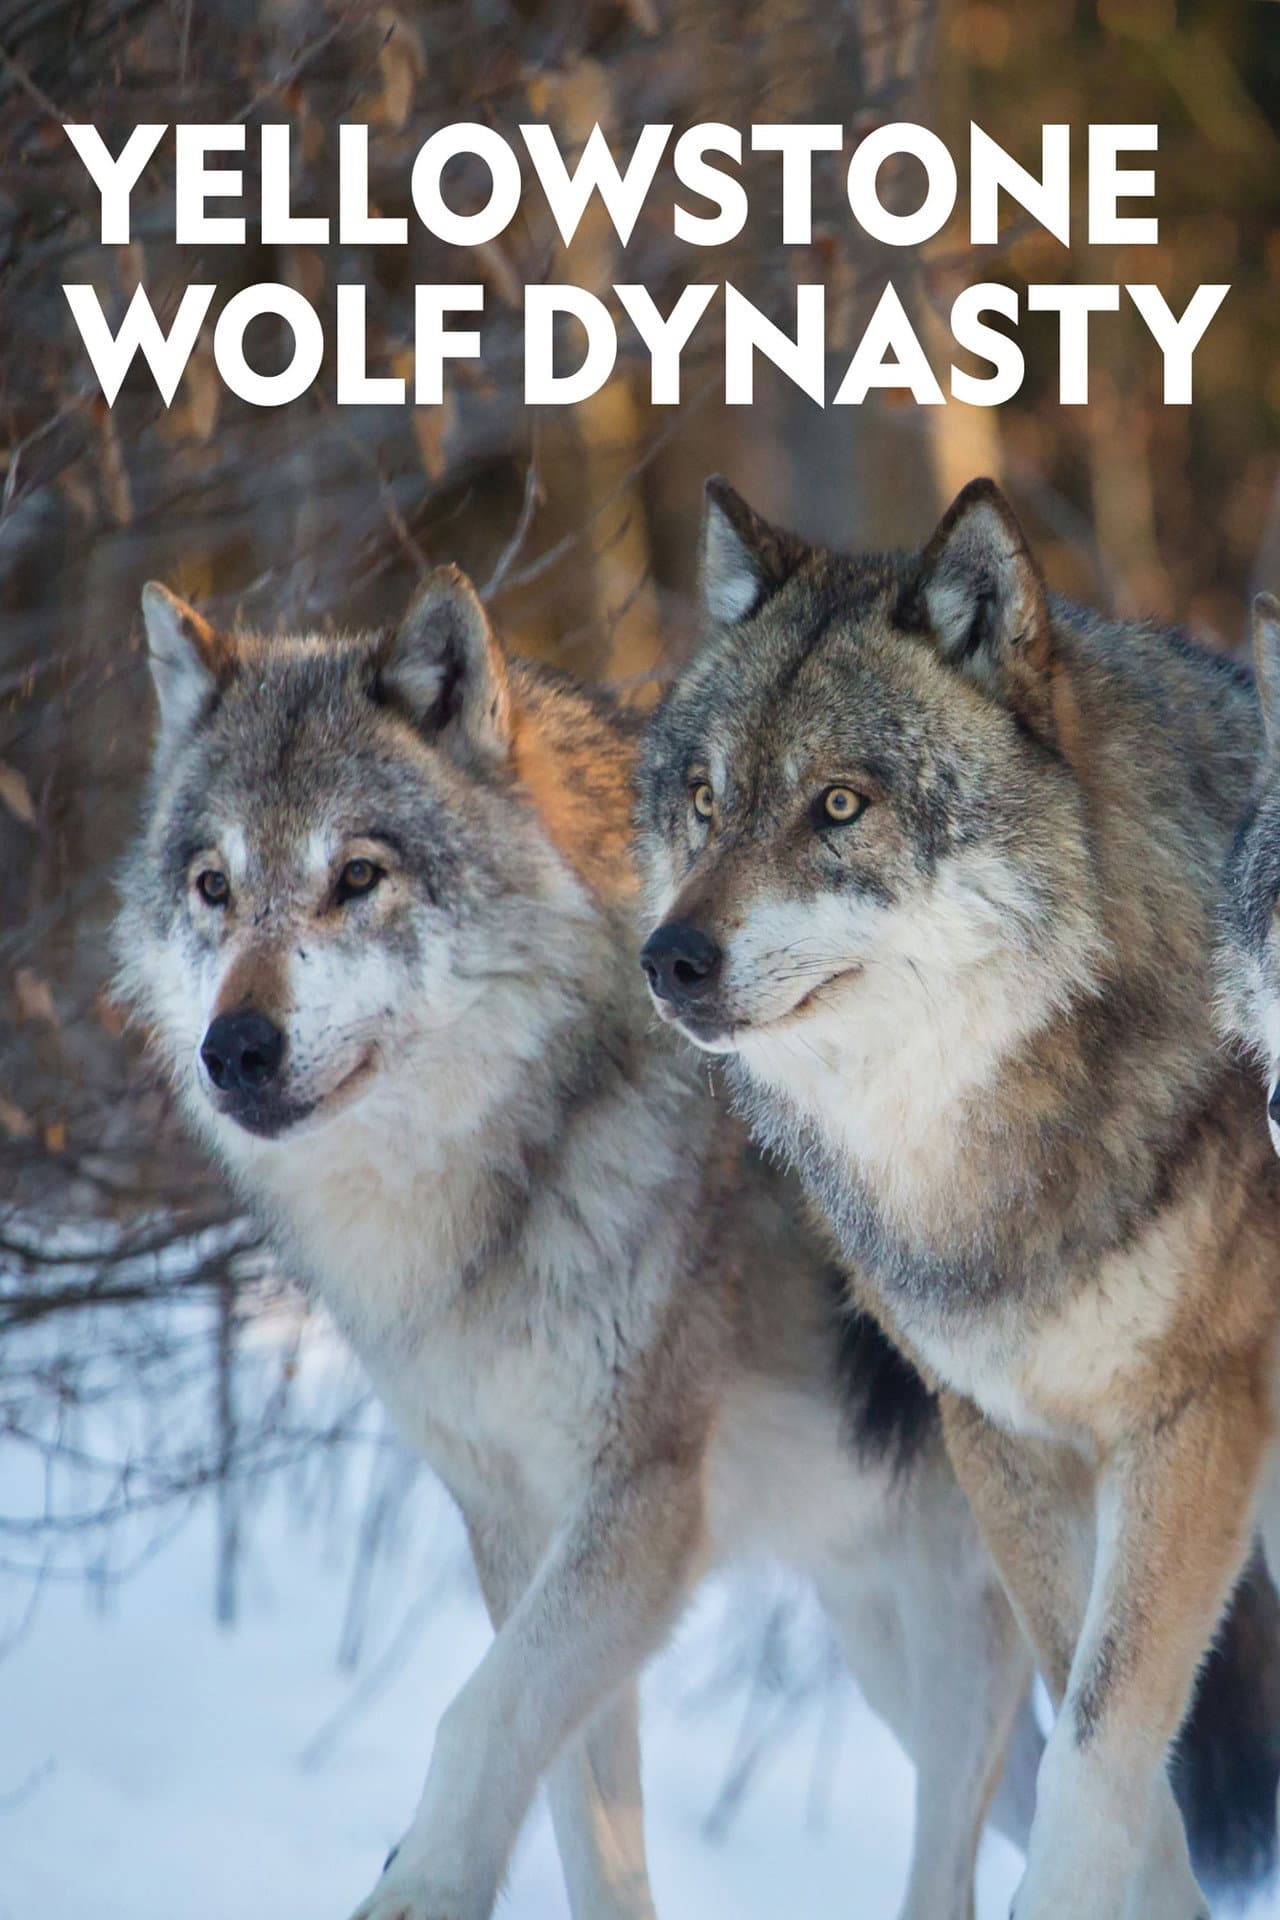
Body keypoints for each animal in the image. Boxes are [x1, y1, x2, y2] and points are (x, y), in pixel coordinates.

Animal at [116, 566, 1048, 1920]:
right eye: (211, 886)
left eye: (357, 876)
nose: (234, 1048)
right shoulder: (518, 1527)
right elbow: (576, 1814)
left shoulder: (641, 1507)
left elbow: (475, 1719)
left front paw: (417, 1886)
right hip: (901, 1627)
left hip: (964, 1612)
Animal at [636, 476, 1280, 1920]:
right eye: (704, 800)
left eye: (839, 805)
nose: (668, 959)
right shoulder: (1005, 1440)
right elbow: (1117, 1752)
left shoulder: (1194, 1423)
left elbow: (1098, 1749)